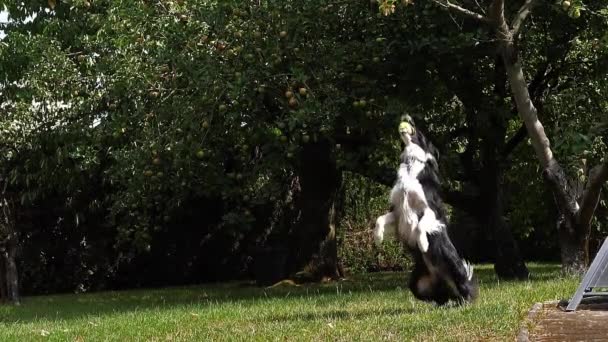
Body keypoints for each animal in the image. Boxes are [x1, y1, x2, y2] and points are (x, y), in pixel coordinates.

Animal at [372, 116, 478, 306]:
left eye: (420, 130)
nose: (406, 117)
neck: (411, 165)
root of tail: (440, 277)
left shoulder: (430, 209)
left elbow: (422, 225)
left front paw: (423, 244)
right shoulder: (397, 211)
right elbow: (379, 219)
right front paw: (378, 238)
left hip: (454, 265)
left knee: (465, 287)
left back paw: (465, 303)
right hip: (416, 284)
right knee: (441, 296)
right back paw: (444, 305)